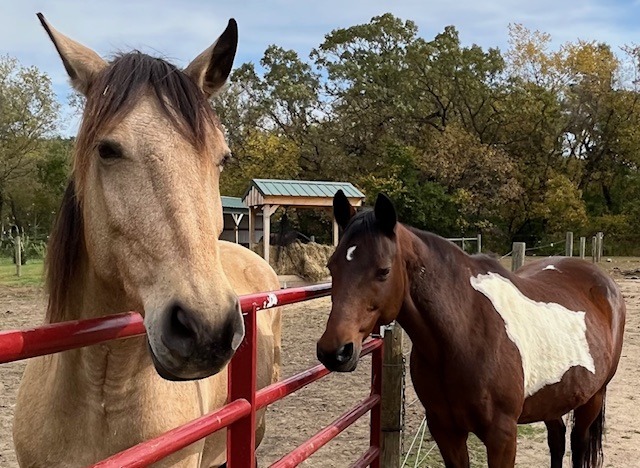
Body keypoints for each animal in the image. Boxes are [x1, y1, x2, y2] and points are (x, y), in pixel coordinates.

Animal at [318, 191, 628, 468]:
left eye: (383, 270)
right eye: (332, 266)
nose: (334, 351)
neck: (464, 335)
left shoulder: (502, 436)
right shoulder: (445, 430)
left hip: (593, 397)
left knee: (578, 444)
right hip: (553, 398)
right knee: (557, 440)